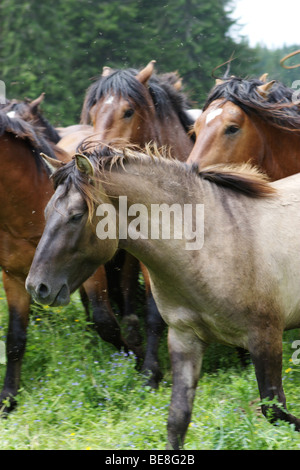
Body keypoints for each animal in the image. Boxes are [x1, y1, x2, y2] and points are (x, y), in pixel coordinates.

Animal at [0, 112, 127, 414]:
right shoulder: (15, 278)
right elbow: (15, 340)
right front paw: (8, 399)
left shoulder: (93, 270)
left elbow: (106, 323)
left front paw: (132, 358)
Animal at [25, 147, 300, 448]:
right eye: (47, 211)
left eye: (76, 216)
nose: (37, 286)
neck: (215, 244)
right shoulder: (185, 339)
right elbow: (177, 420)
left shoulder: (264, 337)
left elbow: (275, 410)